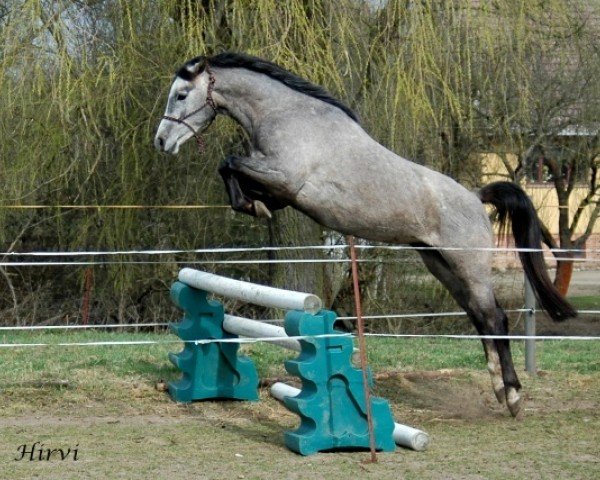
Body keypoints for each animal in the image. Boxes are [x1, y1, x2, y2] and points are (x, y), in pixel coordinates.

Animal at [156, 52, 576, 416]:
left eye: (181, 94)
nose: (162, 141)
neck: (286, 115)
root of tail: (475, 197)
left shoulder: (285, 178)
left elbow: (228, 162)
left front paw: (251, 205)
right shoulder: (280, 186)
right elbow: (232, 172)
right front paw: (252, 205)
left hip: (467, 264)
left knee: (495, 318)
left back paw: (513, 396)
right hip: (439, 263)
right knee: (479, 316)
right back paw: (498, 387)